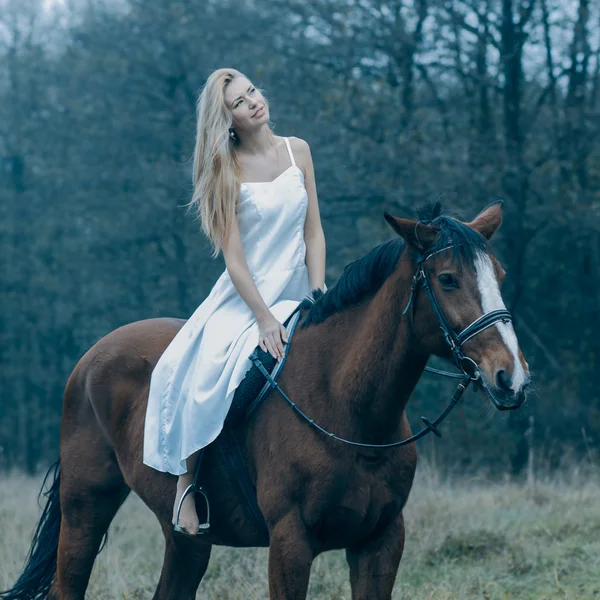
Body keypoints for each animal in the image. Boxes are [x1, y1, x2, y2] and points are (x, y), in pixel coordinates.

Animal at [1, 202, 528, 600]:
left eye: (500, 274)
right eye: (448, 279)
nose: (511, 376)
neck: (348, 409)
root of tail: (91, 358)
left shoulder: (380, 542)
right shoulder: (290, 542)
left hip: (185, 541)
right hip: (85, 508)